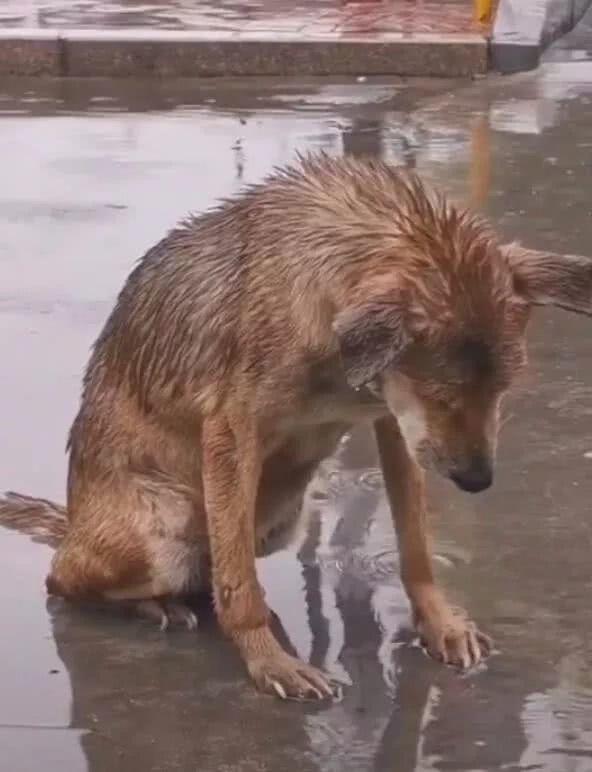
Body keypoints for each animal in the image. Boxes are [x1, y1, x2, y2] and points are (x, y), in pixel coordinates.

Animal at [1, 152, 592, 700]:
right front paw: (269, 661)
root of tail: (74, 524)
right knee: (67, 579)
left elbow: (416, 544)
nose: (477, 482)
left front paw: (440, 623)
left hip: (281, 518)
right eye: (442, 396)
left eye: (503, 390)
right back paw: (155, 606)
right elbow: (240, 587)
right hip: (164, 526)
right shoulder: (232, 431)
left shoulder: (394, 428)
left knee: (209, 573)